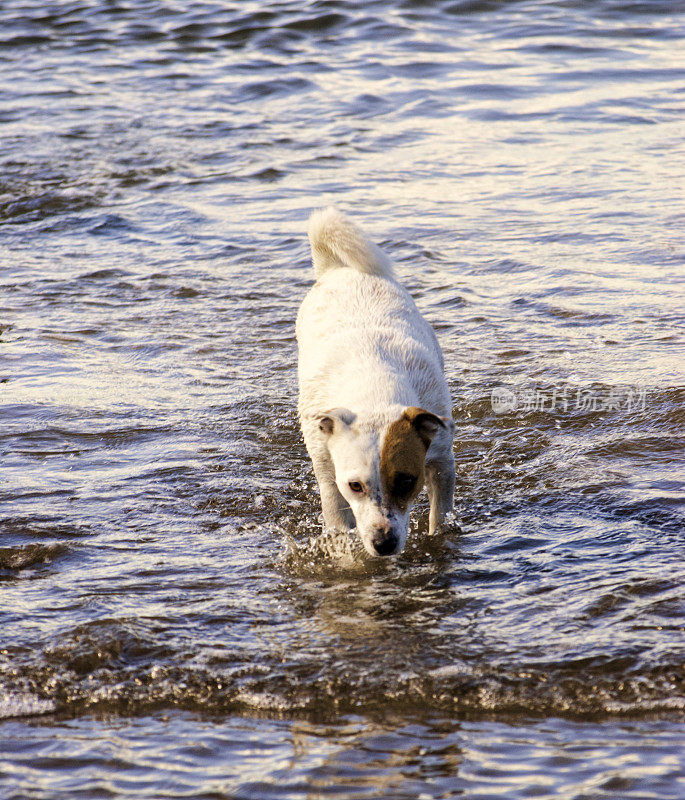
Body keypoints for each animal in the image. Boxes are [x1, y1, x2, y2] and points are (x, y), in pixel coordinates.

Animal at [298, 206, 454, 556]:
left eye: (407, 480)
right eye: (355, 486)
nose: (383, 543)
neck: (375, 389)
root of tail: (339, 270)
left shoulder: (441, 459)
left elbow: (440, 515)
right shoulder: (328, 473)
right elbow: (337, 523)